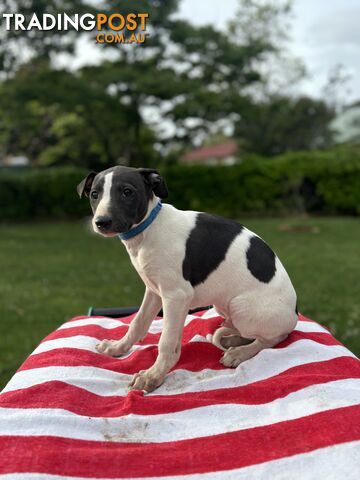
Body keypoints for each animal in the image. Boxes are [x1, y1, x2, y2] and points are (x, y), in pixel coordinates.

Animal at [76, 167, 298, 392]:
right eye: (94, 194)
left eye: (127, 192)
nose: (102, 222)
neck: (149, 228)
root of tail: (295, 312)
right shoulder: (154, 291)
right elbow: (138, 322)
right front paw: (118, 347)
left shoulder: (176, 297)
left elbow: (166, 342)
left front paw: (152, 376)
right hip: (225, 308)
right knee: (252, 333)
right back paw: (233, 341)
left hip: (241, 308)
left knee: (274, 337)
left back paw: (239, 352)